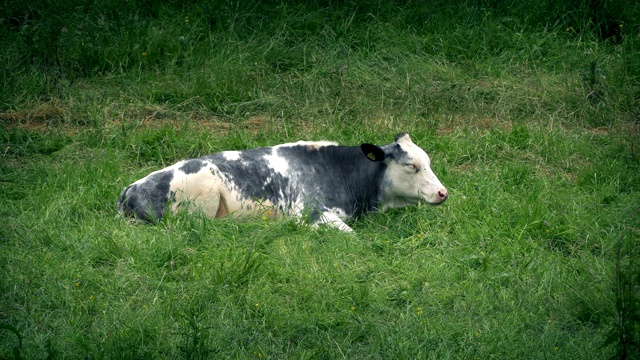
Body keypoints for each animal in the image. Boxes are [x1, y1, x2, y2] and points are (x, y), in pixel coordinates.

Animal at [117, 133, 448, 233]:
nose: (443, 193)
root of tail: (129, 190)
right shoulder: (310, 214)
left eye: (429, 161)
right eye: (413, 166)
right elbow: (351, 236)